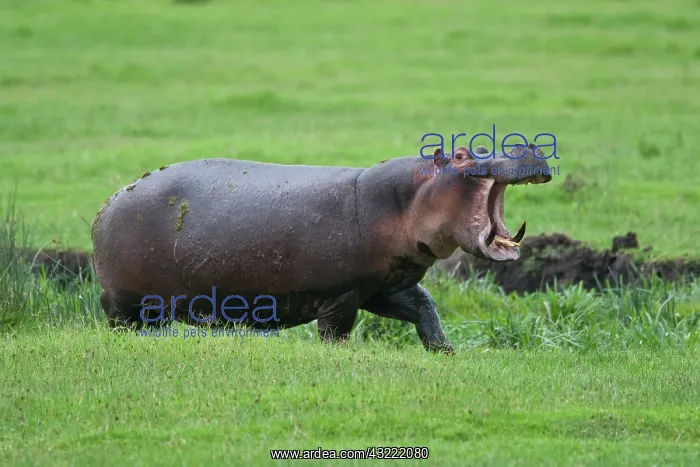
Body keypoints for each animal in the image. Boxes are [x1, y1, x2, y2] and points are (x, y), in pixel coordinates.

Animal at [92, 143, 552, 353]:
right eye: (461, 155)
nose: (526, 146)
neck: (405, 201)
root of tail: (109, 201)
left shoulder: (384, 286)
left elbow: (426, 309)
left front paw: (446, 353)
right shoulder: (341, 294)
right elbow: (337, 333)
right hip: (121, 303)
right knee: (120, 324)